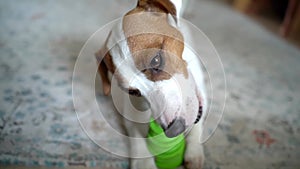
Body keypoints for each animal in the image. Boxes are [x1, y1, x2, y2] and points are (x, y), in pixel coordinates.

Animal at [95, 0, 206, 168]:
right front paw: (144, 162)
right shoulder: (130, 115)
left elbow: (197, 124)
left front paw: (193, 151)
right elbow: (136, 137)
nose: (174, 130)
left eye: (156, 60)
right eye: (133, 92)